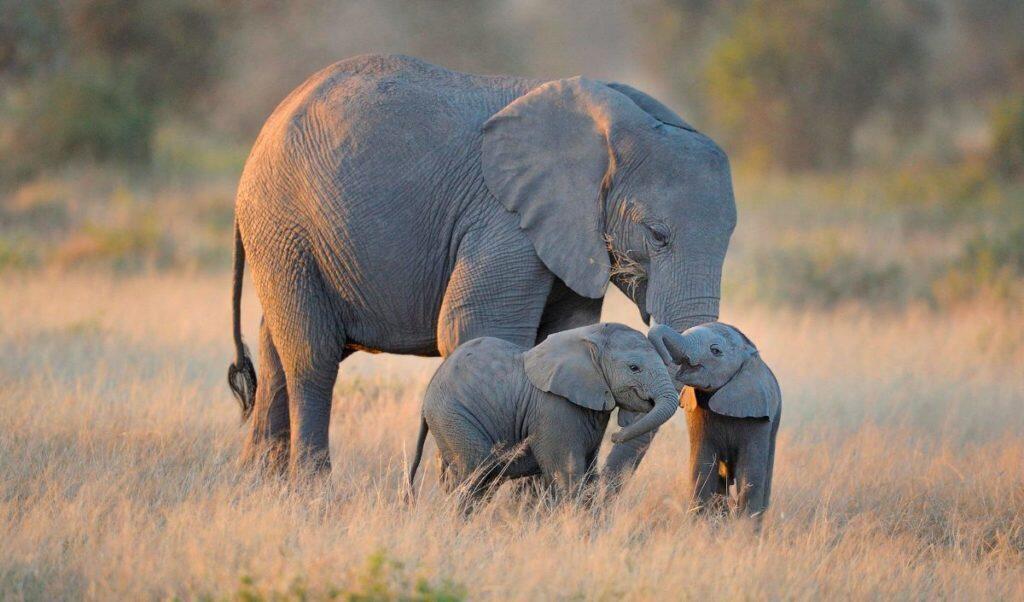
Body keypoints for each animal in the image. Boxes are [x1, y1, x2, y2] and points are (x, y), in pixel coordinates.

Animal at [227, 54, 733, 477]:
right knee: (312, 357)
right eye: (657, 235)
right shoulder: (503, 219)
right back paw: (312, 490)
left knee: (275, 351)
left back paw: (258, 486)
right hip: (284, 225)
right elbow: (477, 328)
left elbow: (563, 334)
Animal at [407, 321, 679, 501]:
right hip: (454, 417)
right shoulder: (554, 409)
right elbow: (568, 475)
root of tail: (427, 397)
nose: (616, 435)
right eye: (634, 368)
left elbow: (589, 475)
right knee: (476, 475)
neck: (588, 338)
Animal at [647, 321, 782, 520]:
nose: (666, 360)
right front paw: (700, 524)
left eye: (715, 351)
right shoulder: (696, 412)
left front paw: (744, 528)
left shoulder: (758, 417)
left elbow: (749, 475)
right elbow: (702, 468)